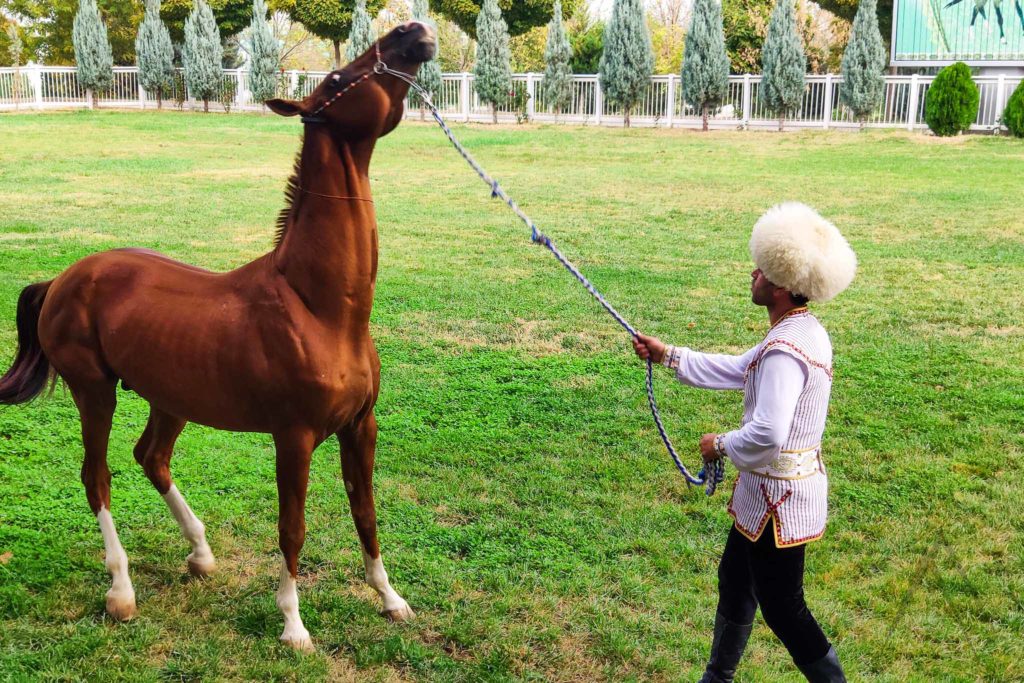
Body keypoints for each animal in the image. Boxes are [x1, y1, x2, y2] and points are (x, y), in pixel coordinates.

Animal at [0, 21, 436, 651]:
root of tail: (62, 279)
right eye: (335, 79)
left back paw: (201, 554)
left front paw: (391, 600)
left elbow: (367, 515)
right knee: (96, 476)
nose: (412, 32)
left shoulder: (361, 427)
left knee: (151, 457)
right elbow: (292, 527)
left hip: (170, 397)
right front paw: (293, 624)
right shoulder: (294, 436)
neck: (319, 308)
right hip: (94, 391)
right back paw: (121, 592)